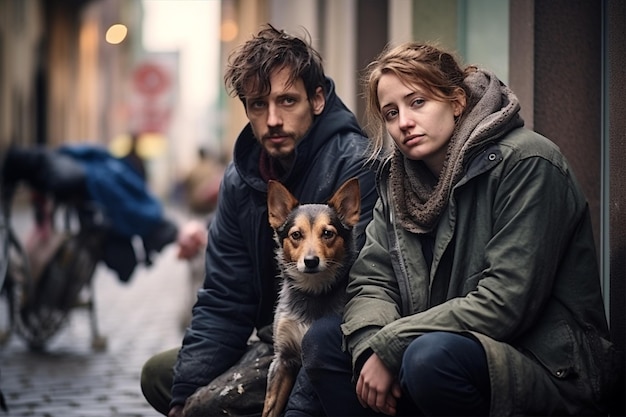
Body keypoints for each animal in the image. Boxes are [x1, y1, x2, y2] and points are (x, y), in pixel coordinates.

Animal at [260, 177, 358, 416]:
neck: (313, 291)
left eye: (328, 233)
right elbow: (269, 409)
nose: (311, 261)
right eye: (296, 235)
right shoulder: (282, 361)